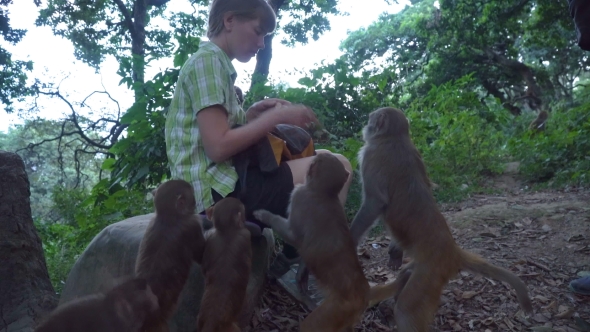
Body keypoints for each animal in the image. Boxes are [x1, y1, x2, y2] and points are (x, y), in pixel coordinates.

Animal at [197, 197, 252, 332]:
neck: (227, 231)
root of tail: (211, 322)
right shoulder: (245, 235)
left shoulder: (210, 238)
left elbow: (204, 268)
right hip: (230, 327)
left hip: (200, 320)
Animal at [350, 107, 536, 332]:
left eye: (371, 119)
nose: (365, 126)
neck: (395, 138)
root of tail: (452, 251)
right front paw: (395, 252)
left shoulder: (370, 155)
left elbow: (375, 202)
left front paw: (350, 238)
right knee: (406, 278)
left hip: (430, 274)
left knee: (406, 310)